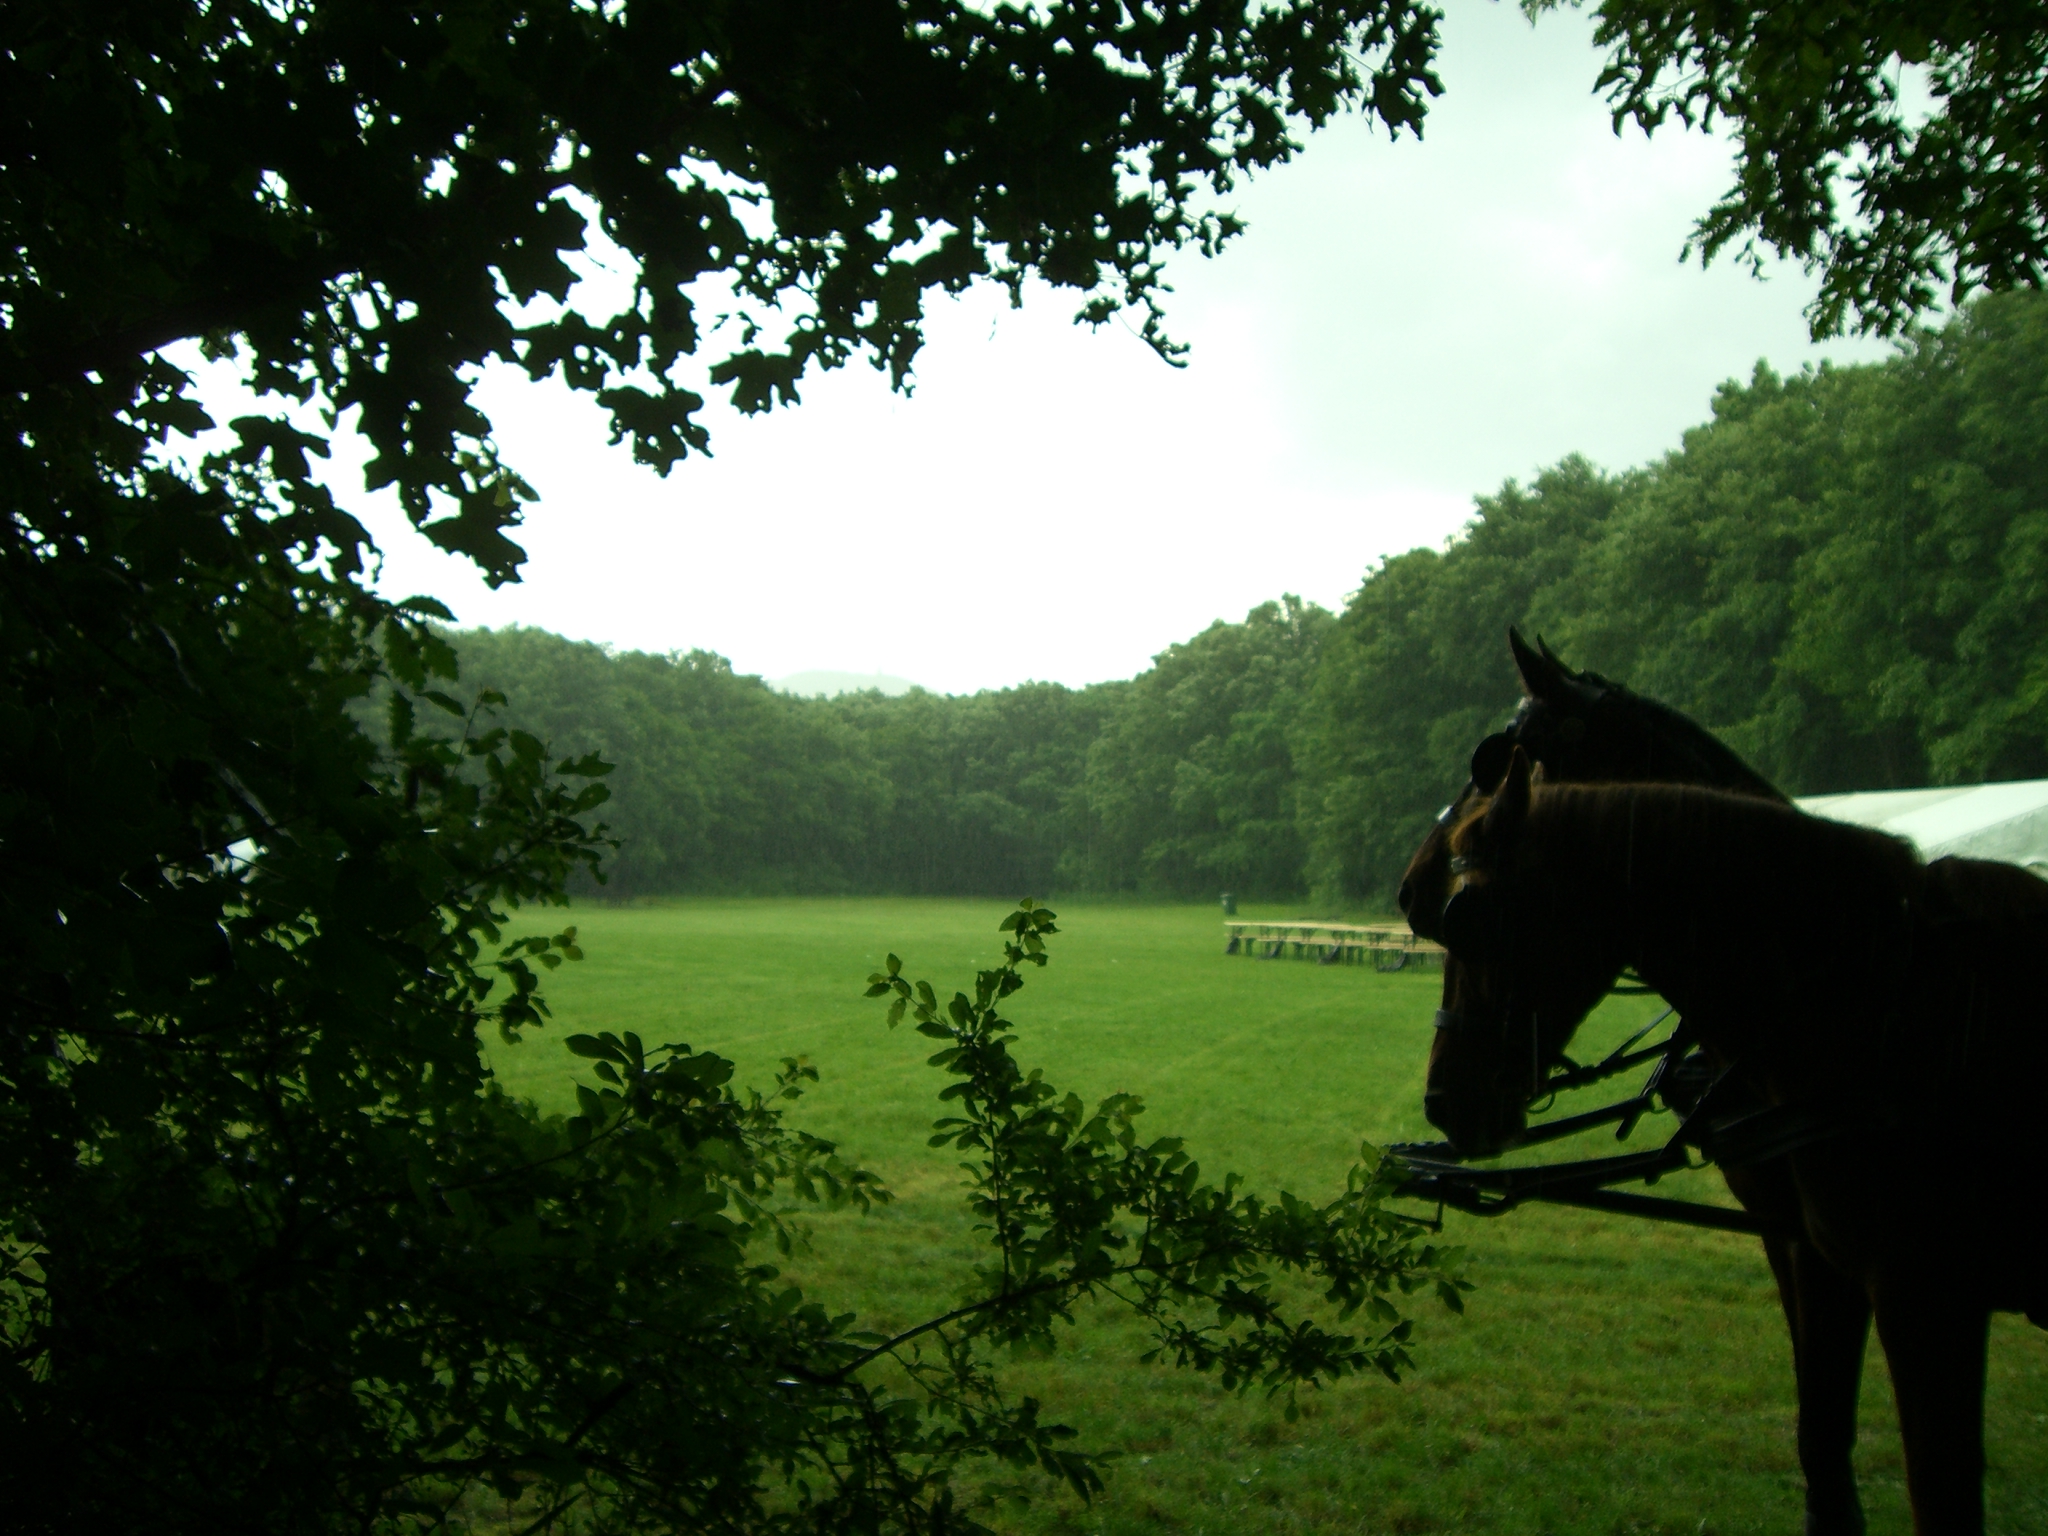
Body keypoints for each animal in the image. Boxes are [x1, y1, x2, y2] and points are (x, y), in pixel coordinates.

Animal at [1433, 757, 2039, 1536]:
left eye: (1464, 916)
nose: (1441, 1101)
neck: (1890, 1008)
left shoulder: (1927, 1294)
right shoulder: (1826, 1261)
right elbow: (1822, 1440)